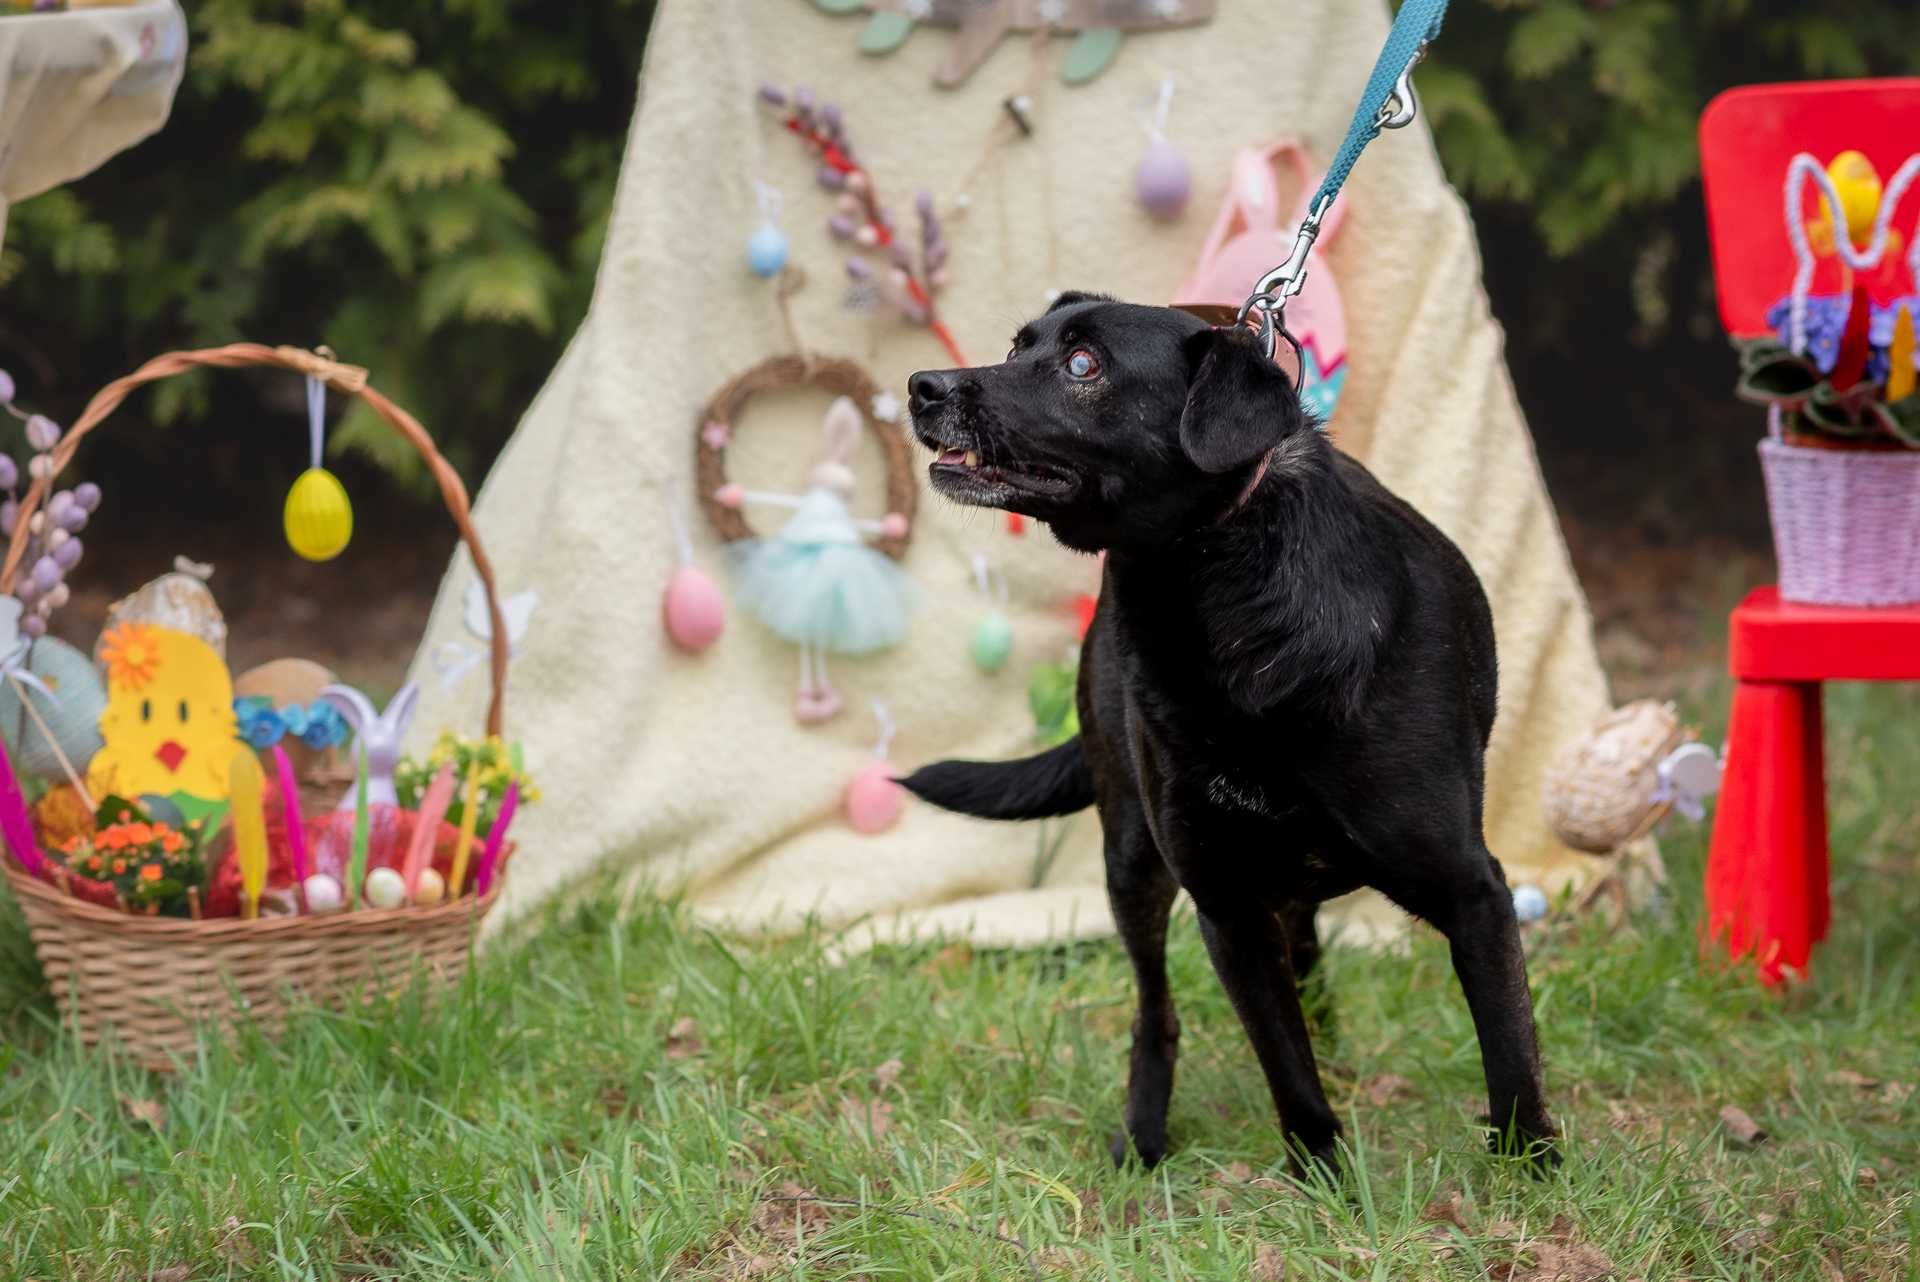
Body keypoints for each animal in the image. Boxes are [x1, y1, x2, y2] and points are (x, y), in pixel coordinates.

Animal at [902, 289, 1559, 1174]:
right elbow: (1287, 1070)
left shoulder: (1474, 889)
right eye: (1017, 348)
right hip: (1131, 858)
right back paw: (1144, 1135)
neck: (1223, 610)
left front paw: (1534, 1174)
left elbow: (1510, 1054)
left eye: (1083, 363)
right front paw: (1325, 1179)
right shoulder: (1228, 908)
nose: (922, 386)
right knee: (1156, 1010)